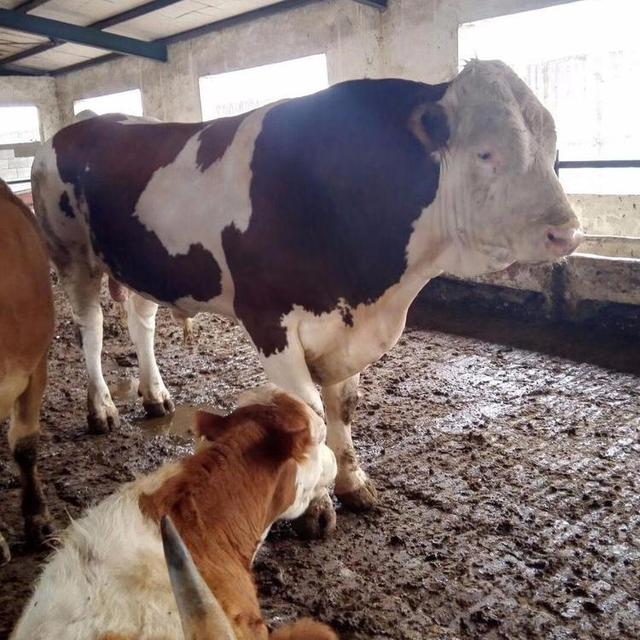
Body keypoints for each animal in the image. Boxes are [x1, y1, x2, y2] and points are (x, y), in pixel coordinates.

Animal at [31, 62, 584, 536]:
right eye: (486, 153)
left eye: (553, 147)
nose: (568, 232)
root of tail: (83, 122)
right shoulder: (268, 320)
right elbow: (310, 415)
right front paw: (315, 508)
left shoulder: (347, 324)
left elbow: (343, 406)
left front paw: (354, 483)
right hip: (71, 255)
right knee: (90, 328)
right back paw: (102, 408)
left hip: (142, 264)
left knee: (140, 320)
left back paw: (154, 395)